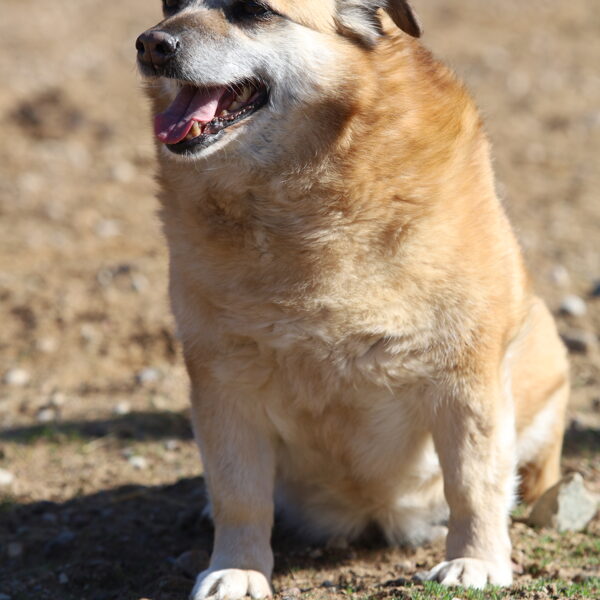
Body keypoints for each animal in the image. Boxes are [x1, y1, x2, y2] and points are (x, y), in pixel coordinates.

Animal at [136, 1, 569, 597]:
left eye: (254, 11)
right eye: (168, 7)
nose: (151, 45)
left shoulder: (466, 375)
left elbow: (473, 483)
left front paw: (476, 559)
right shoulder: (222, 382)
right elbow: (239, 494)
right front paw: (238, 568)